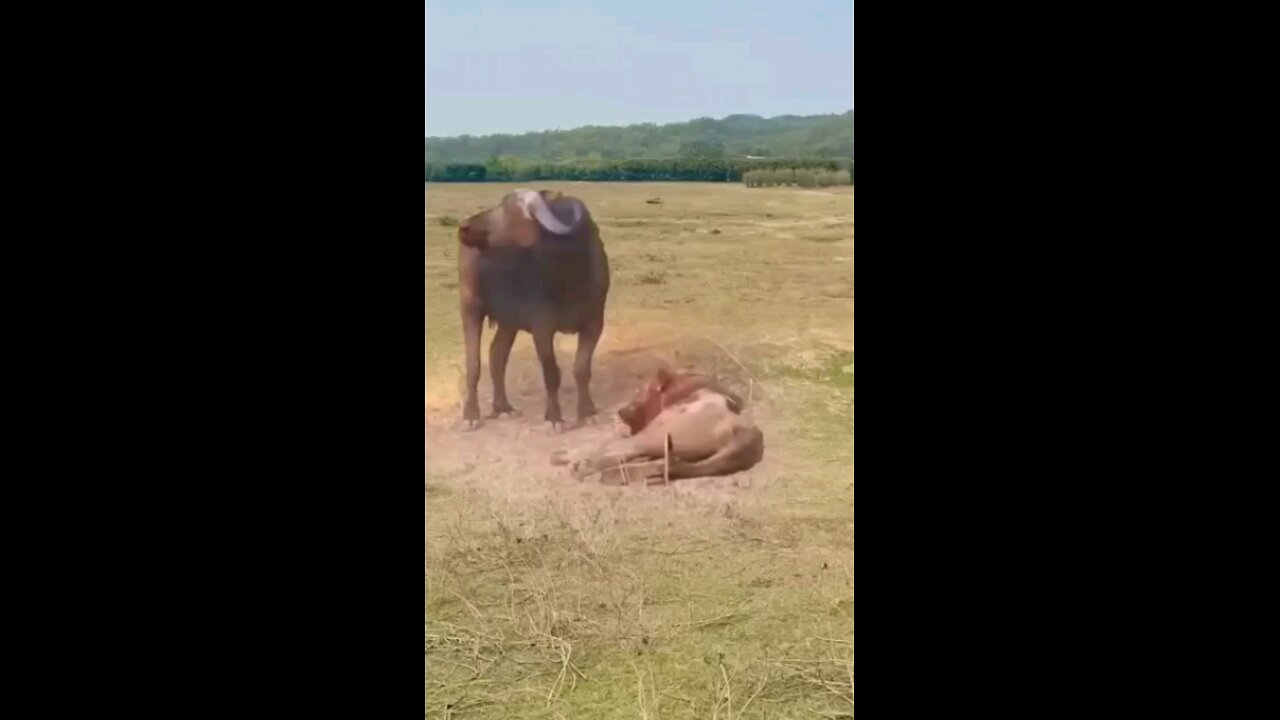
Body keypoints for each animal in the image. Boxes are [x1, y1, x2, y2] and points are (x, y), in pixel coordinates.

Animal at [455, 188, 609, 427]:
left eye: (508, 210)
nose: (464, 226)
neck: (567, 273)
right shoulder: (542, 326)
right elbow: (551, 373)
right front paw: (554, 418)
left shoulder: (594, 322)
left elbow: (581, 369)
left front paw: (587, 412)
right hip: (470, 305)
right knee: (473, 362)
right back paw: (471, 415)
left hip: (508, 320)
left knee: (497, 354)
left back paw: (503, 408)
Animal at [547, 368, 757, 481]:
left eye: (641, 391)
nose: (620, 411)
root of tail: (747, 430)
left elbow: (603, 445)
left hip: (655, 433)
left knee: (616, 449)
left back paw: (576, 463)